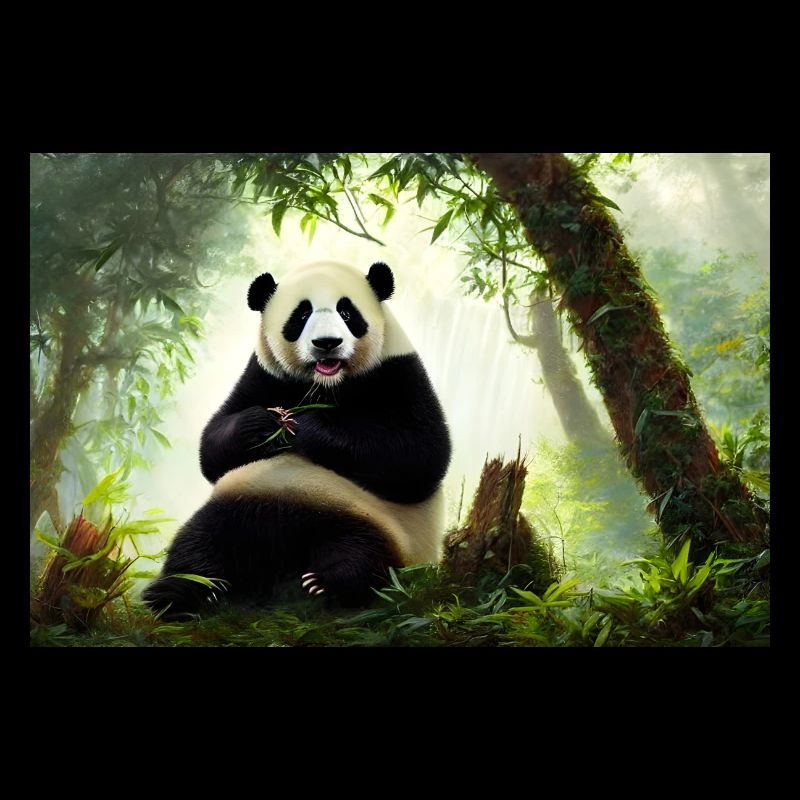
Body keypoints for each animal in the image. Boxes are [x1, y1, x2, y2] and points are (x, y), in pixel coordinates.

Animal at [143, 260, 451, 616]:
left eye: (347, 312)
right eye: (301, 314)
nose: (327, 342)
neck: (326, 384)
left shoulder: (398, 371)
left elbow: (420, 455)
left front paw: (306, 426)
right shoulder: (263, 374)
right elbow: (213, 450)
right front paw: (263, 424)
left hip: (383, 528)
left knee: (366, 557)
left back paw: (328, 584)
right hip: (238, 504)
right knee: (197, 543)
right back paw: (181, 592)